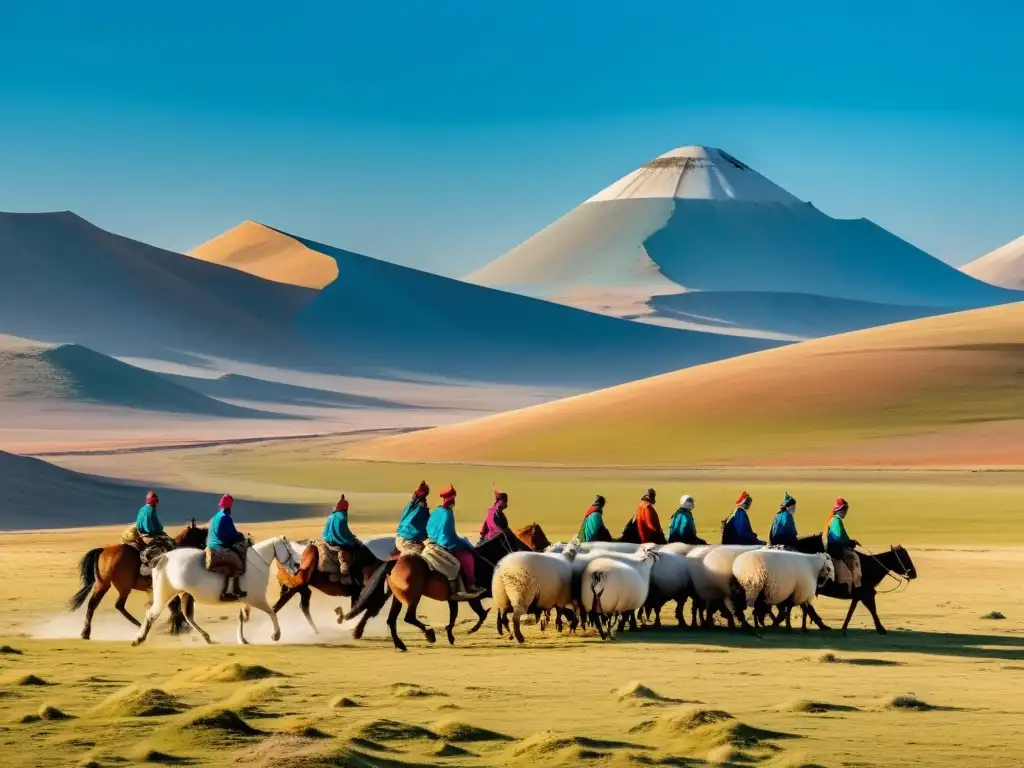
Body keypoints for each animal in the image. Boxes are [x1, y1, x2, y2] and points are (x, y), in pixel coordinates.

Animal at [69, 520, 206, 638]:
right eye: (201, 535)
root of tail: (103, 550)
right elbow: (175, 606)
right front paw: (178, 627)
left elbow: (174, 606)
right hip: (122, 587)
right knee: (114, 605)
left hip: (103, 584)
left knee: (96, 604)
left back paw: (85, 633)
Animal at [130, 536, 299, 647]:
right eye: (290, 550)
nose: (297, 568)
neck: (256, 562)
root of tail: (163, 557)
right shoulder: (256, 599)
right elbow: (272, 612)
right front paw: (276, 635)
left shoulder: (244, 600)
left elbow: (242, 616)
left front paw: (242, 639)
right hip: (165, 593)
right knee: (152, 614)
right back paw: (139, 639)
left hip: (184, 594)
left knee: (187, 616)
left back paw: (208, 638)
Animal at [344, 528, 540, 655]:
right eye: (513, 538)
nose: (528, 549)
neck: (482, 560)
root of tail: (395, 562)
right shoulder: (478, 594)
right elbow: (485, 612)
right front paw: (487, 629)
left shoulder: (454, 597)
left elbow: (456, 615)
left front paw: (451, 635)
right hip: (413, 597)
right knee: (408, 617)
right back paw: (429, 635)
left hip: (398, 598)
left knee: (391, 620)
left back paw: (400, 644)